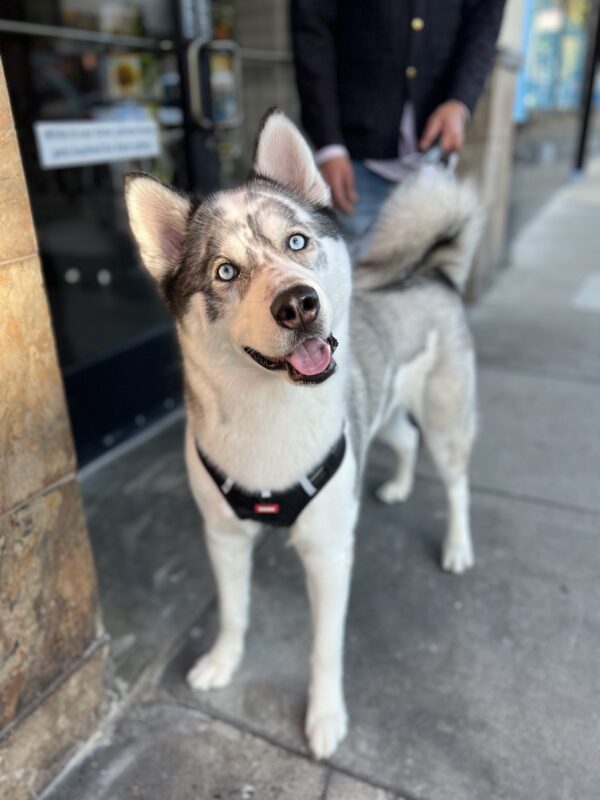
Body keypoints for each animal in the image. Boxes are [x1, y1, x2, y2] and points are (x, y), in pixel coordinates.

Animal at [124, 109, 480, 760]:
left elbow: (325, 647)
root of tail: (431, 274)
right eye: (225, 271)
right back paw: (396, 486)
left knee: (455, 481)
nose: (299, 304)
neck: (271, 415)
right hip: (382, 414)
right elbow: (234, 611)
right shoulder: (223, 537)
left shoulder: (328, 552)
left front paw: (325, 716)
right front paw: (223, 660)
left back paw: (458, 546)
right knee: (404, 440)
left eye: (296, 241)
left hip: (447, 420)